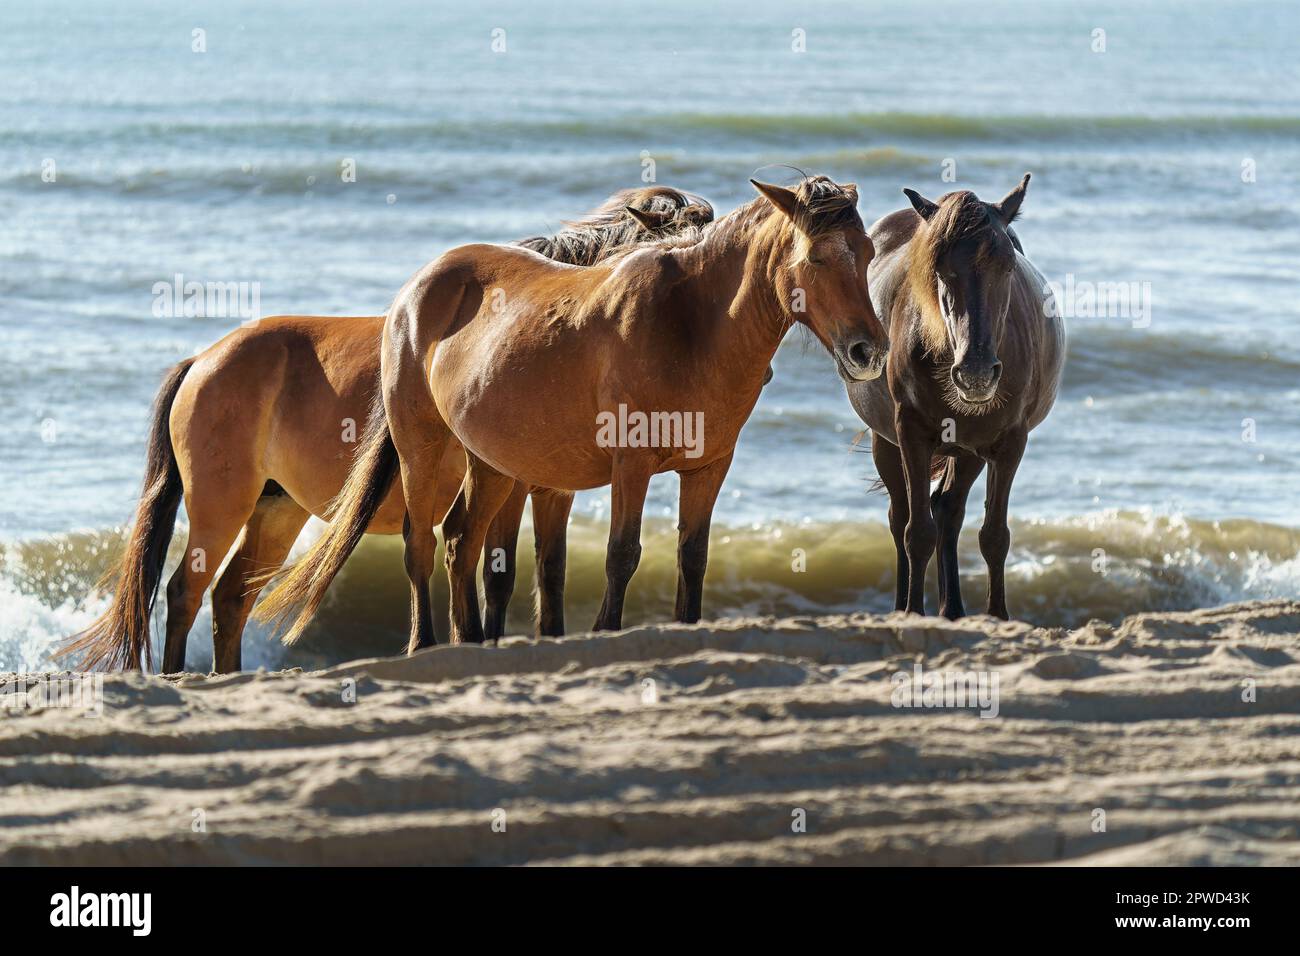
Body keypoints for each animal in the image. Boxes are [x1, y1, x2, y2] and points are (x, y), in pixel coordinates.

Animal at [58, 186, 713, 673]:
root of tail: (203, 360)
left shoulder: (552, 491)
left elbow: (548, 573)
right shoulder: (509, 486)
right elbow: (494, 570)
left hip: (276, 510)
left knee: (230, 596)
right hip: (221, 504)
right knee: (184, 592)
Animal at [257, 174, 889, 650]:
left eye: (867, 253)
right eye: (817, 258)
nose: (869, 351)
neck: (689, 325)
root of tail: (418, 286)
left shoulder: (708, 469)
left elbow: (691, 557)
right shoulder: (630, 467)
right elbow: (620, 555)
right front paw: (607, 631)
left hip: (492, 462)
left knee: (462, 539)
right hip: (423, 449)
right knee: (421, 543)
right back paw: (423, 645)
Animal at [845, 174, 1065, 619]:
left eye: (1007, 265)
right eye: (940, 268)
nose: (976, 373)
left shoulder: (1009, 443)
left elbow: (994, 536)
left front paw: (998, 616)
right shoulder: (910, 433)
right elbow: (916, 532)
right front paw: (913, 612)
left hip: (967, 450)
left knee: (948, 510)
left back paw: (953, 610)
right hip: (885, 440)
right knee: (901, 515)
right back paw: (906, 606)